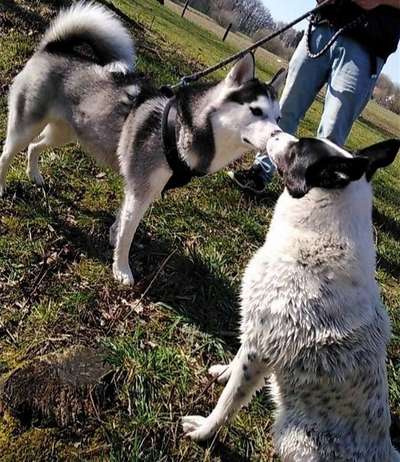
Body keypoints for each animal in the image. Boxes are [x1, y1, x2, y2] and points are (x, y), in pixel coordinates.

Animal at [0, 1, 284, 286]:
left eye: (278, 118)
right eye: (256, 111)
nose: (278, 137)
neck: (184, 129)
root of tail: (55, 47)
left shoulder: (138, 187)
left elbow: (122, 220)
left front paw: (114, 237)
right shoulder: (141, 188)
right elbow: (129, 233)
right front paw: (122, 268)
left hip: (64, 133)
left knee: (35, 146)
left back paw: (35, 175)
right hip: (25, 126)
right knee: (6, 154)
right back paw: (2, 186)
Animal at [182, 134, 400, 462]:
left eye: (299, 148)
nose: (274, 133)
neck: (320, 237)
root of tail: (387, 452)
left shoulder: (261, 350)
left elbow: (228, 401)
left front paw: (204, 432)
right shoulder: (256, 332)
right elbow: (236, 362)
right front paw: (224, 372)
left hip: (292, 437)